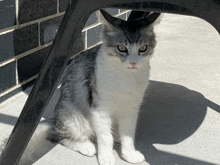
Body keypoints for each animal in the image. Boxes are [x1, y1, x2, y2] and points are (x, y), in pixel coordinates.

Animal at [0, 9, 161, 164]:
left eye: (143, 48)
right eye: (121, 48)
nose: (134, 62)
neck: (125, 76)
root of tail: (56, 120)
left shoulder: (132, 107)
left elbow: (128, 133)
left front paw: (129, 154)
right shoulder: (99, 106)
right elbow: (105, 136)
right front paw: (106, 156)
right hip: (71, 114)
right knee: (58, 136)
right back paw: (85, 145)